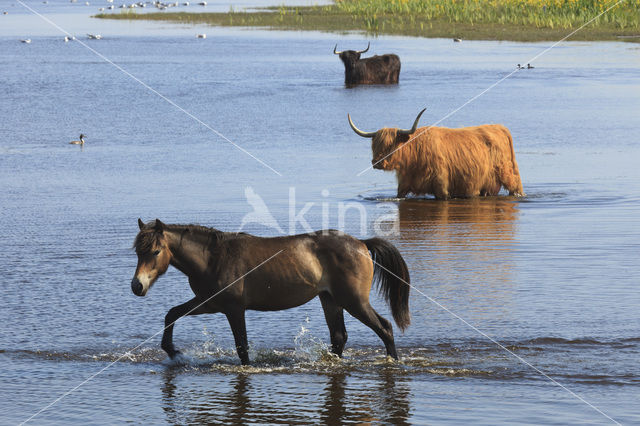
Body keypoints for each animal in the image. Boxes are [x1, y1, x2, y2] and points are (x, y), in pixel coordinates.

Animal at [131, 218, 410, 364]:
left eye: (155, 251)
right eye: (137, 252)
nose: (137, 285)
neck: (213, 258)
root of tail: (361, 244)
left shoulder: (233, 309)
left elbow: (242, 346)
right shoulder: (208, 302)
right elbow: (172, 314)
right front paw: (171, 350)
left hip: (354, 301)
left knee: (384, 328)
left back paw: (393, 361)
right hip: (331, 300)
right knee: (339, 336)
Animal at [350, 108, 524, 198]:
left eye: (390, 145)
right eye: (374, 146)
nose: (377, 162)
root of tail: (499, 127)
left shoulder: (441, 186)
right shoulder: (403, 186)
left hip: (507, 173)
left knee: (516, 187)